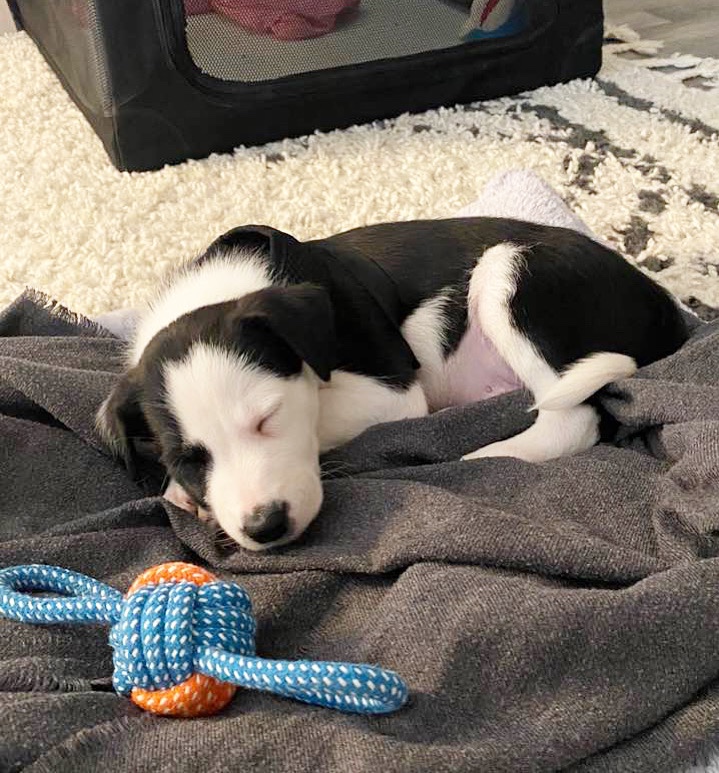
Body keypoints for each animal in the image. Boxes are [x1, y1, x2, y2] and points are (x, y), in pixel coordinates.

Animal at [96, 218, 689, 551]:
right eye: (188, 458)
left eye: (270, 418)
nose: (266, 528)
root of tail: (665, 304)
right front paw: (185, 493)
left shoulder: (392, 391)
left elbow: (322, 415)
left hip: (509, 272)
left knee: (571, 417)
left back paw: (481, 457)